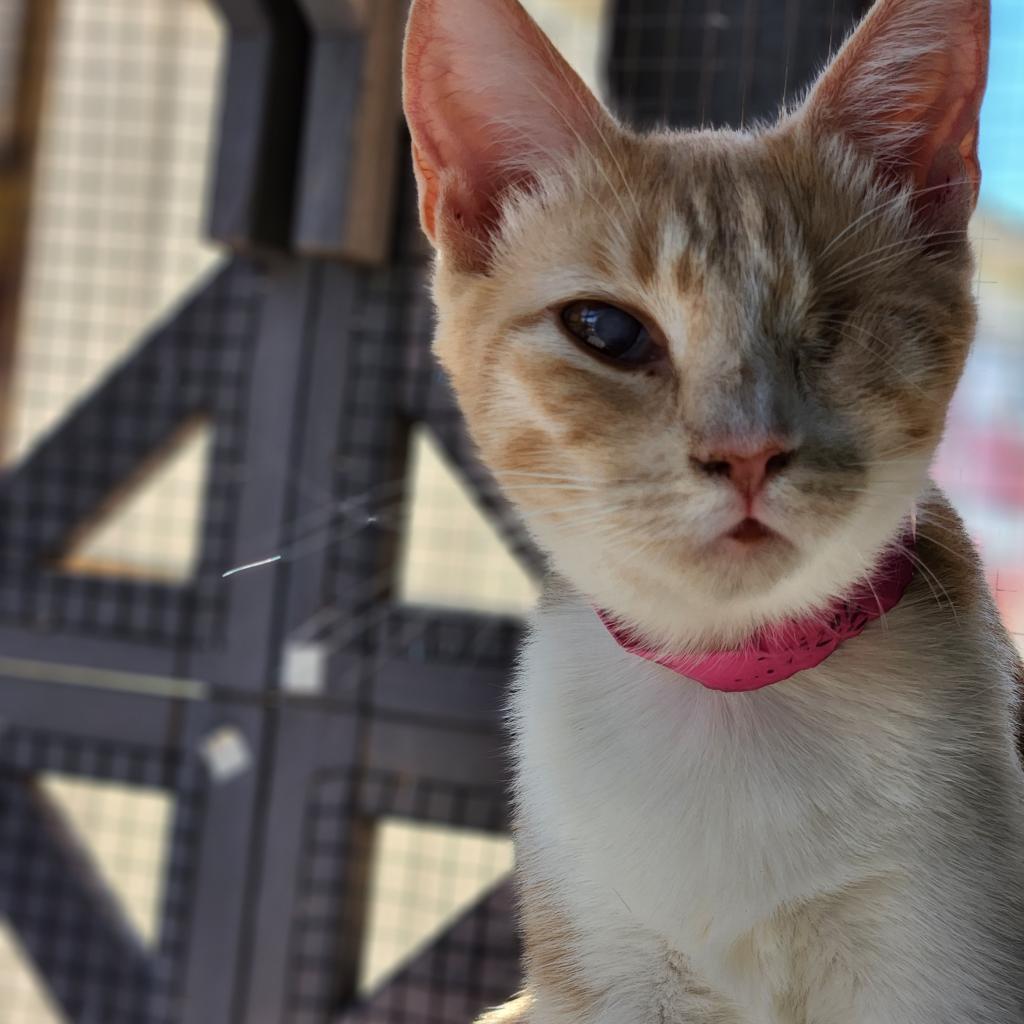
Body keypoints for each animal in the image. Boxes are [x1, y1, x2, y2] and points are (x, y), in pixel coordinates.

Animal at [399, 0, 1024, 1019]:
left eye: (835, 326)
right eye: (605, 331)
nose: (746, 453)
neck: (733, 680)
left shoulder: (945, 957)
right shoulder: (603, 972)